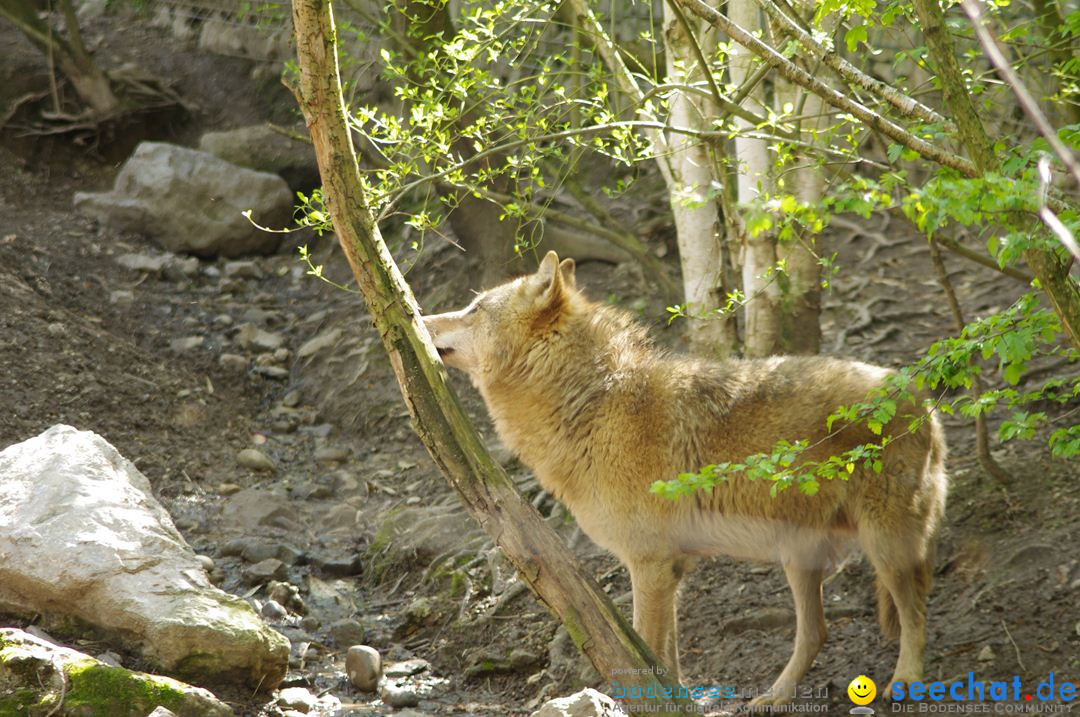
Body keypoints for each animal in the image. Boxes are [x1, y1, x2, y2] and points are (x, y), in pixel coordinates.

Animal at [421, 253, 946, 704]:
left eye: (473, 308)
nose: (419, 320)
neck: (591, 403)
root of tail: (923, 396)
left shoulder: (649, 566)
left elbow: (646, 657)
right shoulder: (668, 569)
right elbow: (666, 661)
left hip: (885, 548)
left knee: (917, 611)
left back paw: (905, 681)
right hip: (799, 556)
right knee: (818, 633)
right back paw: (770, 700)